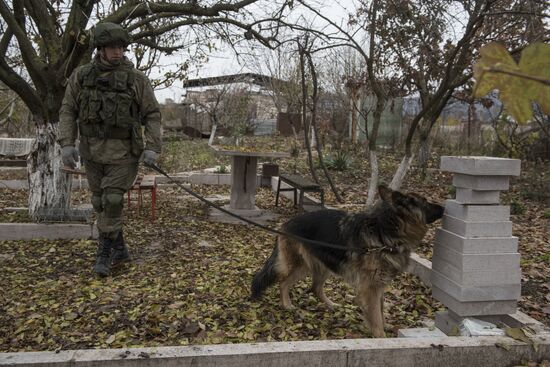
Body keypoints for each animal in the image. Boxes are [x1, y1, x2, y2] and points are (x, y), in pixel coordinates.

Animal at [252, 185, 446, 338]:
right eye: (425, 201)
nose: (444, 207)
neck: (385, 232)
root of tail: (286, 223)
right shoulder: (370, 288)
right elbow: (375, 314)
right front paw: (381, 336)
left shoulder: (378, 285)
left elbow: (381, 309)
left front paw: (385, 326)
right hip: (301, 265)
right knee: (283, 282)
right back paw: (287, 304)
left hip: (323, 266)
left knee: (315, 288)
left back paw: (331, 304)